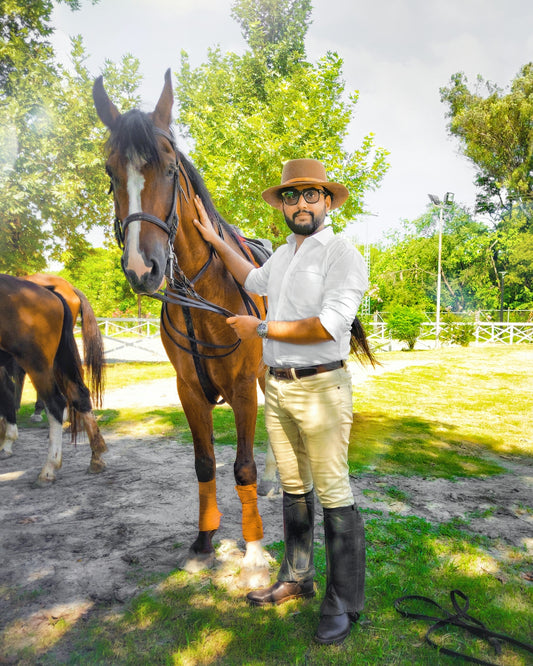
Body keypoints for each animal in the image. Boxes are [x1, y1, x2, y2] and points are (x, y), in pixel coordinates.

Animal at [0, 274, 107, 486]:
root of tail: (52, 293)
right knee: (79, 394)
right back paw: (96, 456)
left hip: (37, 360)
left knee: (56, 402)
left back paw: (49, 468)